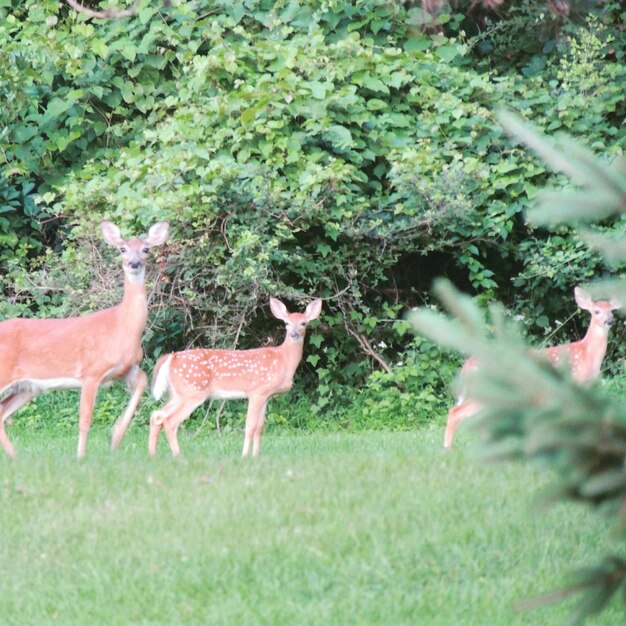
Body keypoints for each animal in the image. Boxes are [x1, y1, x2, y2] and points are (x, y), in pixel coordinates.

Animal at [0, 221, 169, 458]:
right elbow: (85, 419)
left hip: (27, 387)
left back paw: (14, 456)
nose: (134, 263)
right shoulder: (91, 371)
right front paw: (80, 456)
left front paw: (115, 438)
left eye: (146, 249)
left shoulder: (125, 368)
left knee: (1, 412)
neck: (122, 327)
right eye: (122, 249)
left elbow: (143, 381)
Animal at [147, 294, 322, 456]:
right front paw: (245, 455)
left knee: (157, 415)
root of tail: (170, 358)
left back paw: (153, 454)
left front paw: (256, 455)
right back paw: (178, 456)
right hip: (192, 392)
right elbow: (250, 426)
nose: (293, 334)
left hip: (179, 393)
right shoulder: (256, 391)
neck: (283, 359)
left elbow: (260, 427)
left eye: (303, 323)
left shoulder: (267, 395)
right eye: (286, 323)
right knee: (170, 421)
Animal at [444, 288, 620, 448]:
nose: (609, 321)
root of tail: (468, 364)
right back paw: (447, 449)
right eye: (596, 311)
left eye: (612, 311)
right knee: (455, 412)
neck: (587, 354)